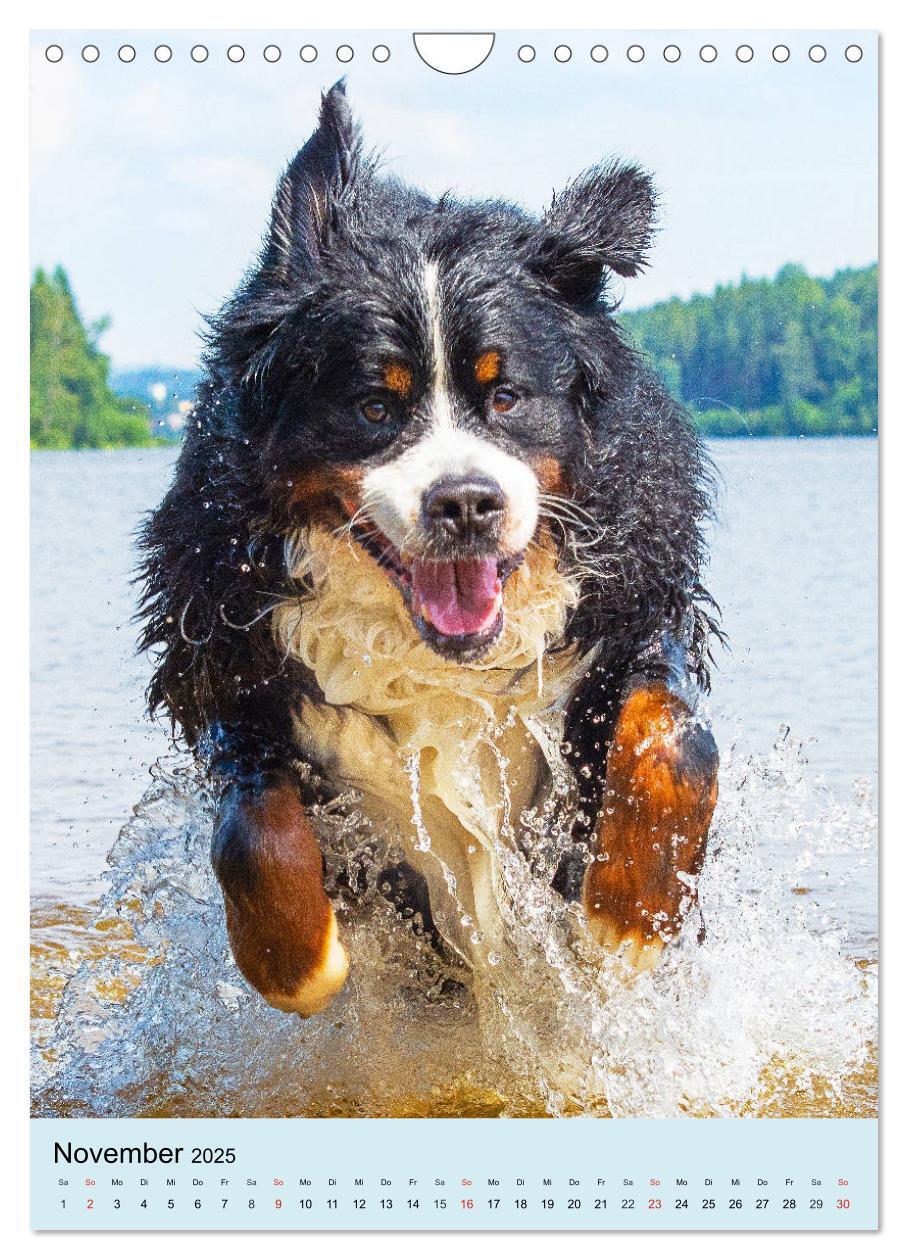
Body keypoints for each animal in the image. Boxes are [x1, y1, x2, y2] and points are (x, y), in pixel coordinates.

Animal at [137, 83, 720, 1018]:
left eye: (507, 395)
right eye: (375, 405)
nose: (466, 504)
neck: (440, 660)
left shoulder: (630, 606)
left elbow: (670, 740)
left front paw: (626, 921)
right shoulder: (231, 653)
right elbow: (252, 826)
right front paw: (296, 962)